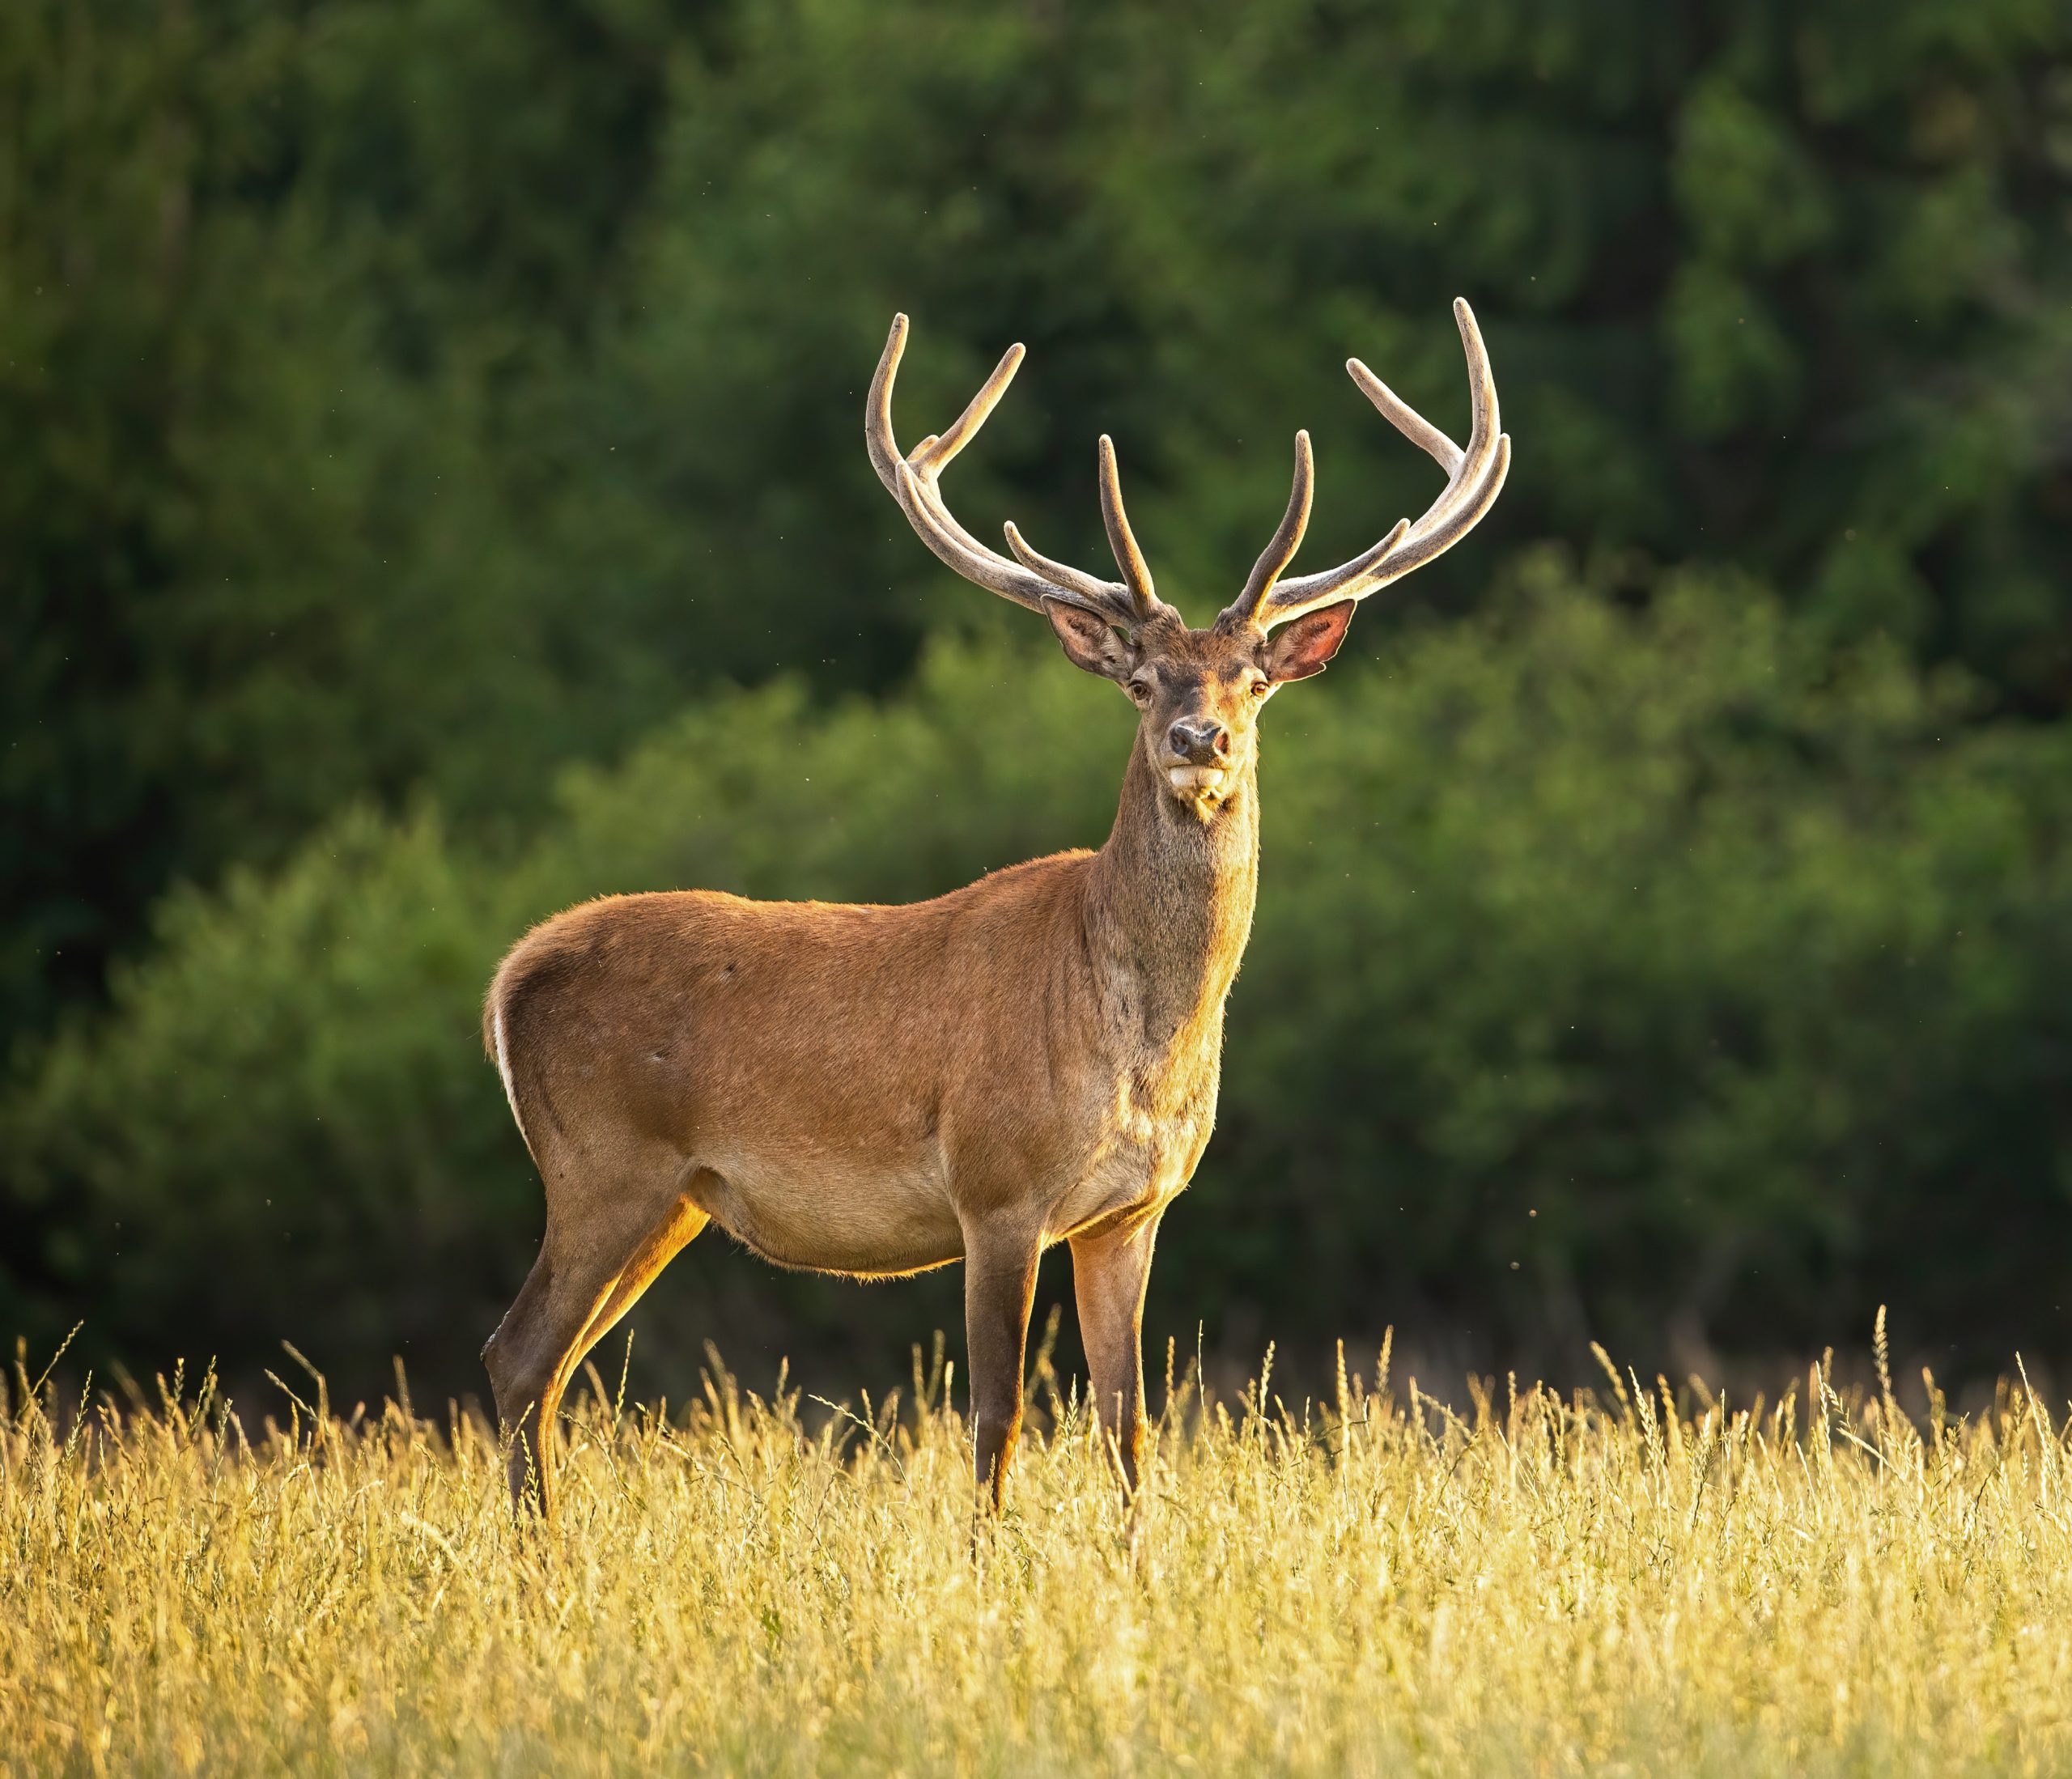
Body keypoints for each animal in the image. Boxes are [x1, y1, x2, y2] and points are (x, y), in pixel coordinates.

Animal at [482, 298, 1508, 1524]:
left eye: (1252, 679)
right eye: (1143, 679)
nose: (1199, 738)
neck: (1138, 1042)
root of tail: (510, 977)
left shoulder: (1133, 1210)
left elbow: (1129, 1422)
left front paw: (1134, 1553)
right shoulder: (996, 1184)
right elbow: (996, 1415)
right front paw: (984, 1553)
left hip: (672, 1196)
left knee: (547, 1363)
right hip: (602, 1163)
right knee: (517, 1352)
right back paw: (539, 1551)